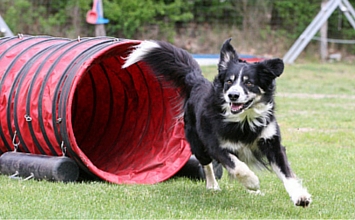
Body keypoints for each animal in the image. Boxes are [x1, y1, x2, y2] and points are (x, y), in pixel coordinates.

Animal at [124, 38, 312, 207]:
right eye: (229, 81)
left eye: (249, 82)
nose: (232, 95)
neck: (244, 120)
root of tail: (198, 82)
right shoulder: (216, 144)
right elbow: (236, 166)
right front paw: (252, 181)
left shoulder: (271, 141)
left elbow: (286, 172)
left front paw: (300, 196)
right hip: (197, 143)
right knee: (206, 164)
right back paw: (213, 185)